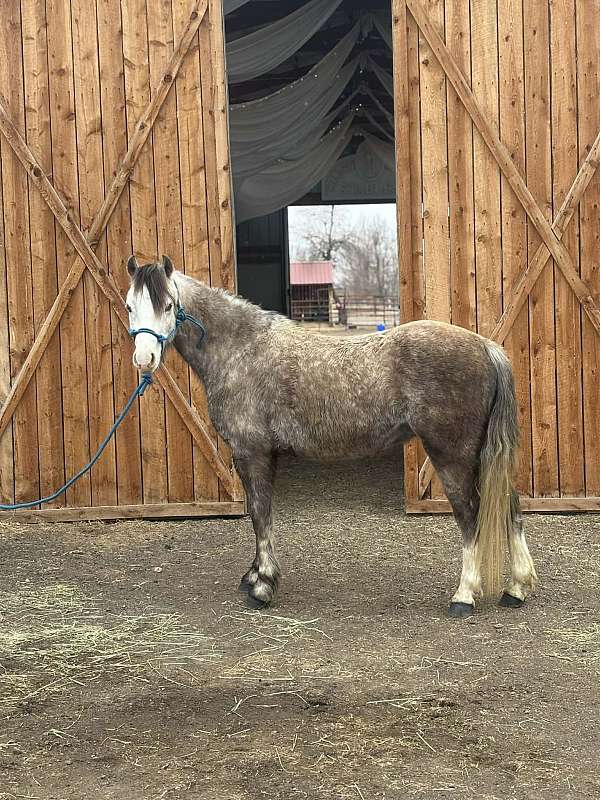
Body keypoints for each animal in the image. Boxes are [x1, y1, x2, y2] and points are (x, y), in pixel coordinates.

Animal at [125, 255, 538, 617]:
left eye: (167, 305)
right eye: (130, 307)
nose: (144, 360)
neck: (242, 350)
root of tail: (485, 346)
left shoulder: (252, 452)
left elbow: (260, 514)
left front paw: (262, 586)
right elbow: (261, 516)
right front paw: (254, 576)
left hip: (452, 456)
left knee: (470, 516)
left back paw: (464, 596)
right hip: (479, 456)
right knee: (511, 509)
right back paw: (516, 589)